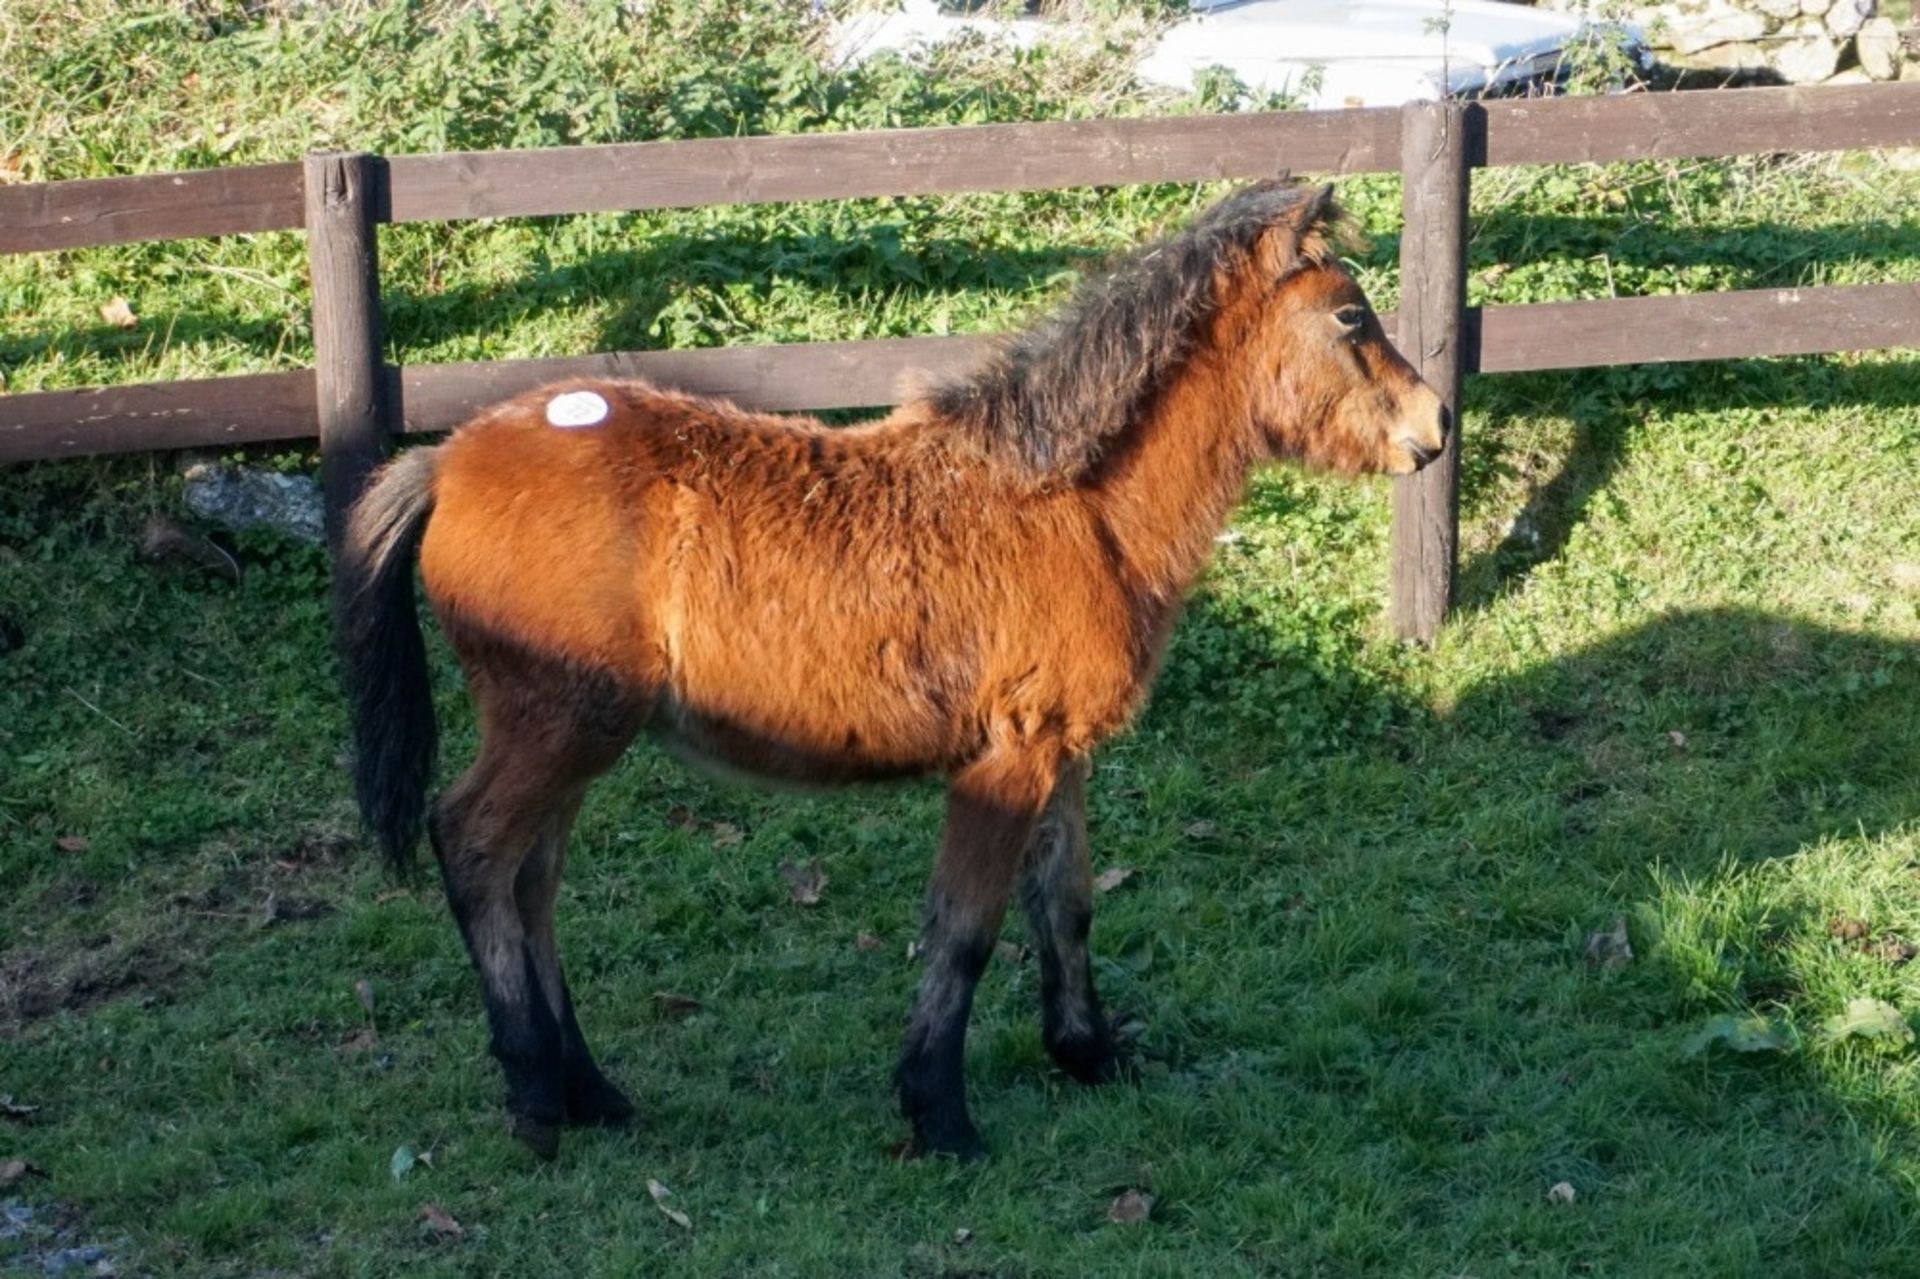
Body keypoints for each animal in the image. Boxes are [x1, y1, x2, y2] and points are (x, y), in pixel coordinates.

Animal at [334, 176, 1443, 1152]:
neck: (1070, 507)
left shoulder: (1062, 749)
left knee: (532, 881)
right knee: (475, 845)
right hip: (556, 725)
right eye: (1350, 317)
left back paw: (592, 1089)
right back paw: (534, 1095)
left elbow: (1068, 901)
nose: (1434, 427)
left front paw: (1085, 1052)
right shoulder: (1006, 760)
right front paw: (939, 1112)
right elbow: (966, 927)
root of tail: (447, 458)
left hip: (577, 736)